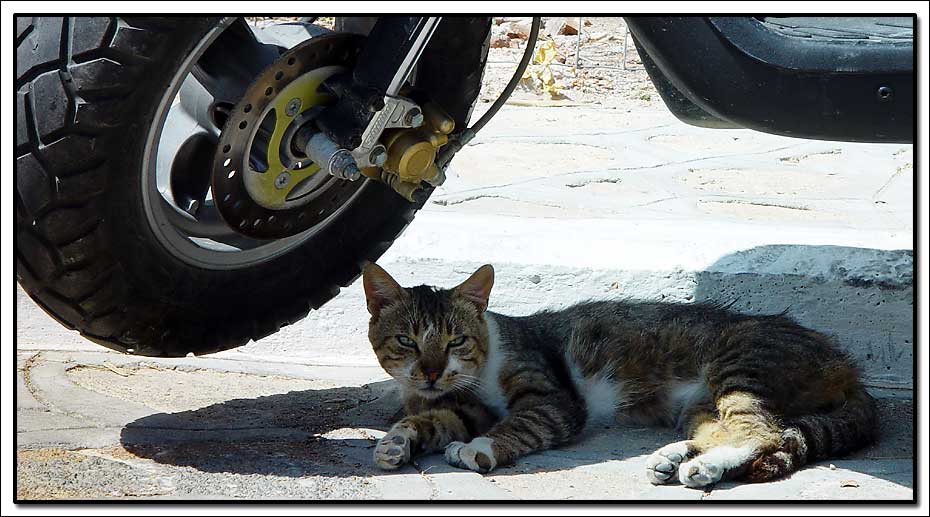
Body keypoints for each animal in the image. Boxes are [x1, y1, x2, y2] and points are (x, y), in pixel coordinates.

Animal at [358, 264, 872, 486]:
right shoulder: (460, 408)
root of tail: (844, 362)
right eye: (406, 341)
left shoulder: (553, 398)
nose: (430, 371)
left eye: (455, 341)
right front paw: (397, 442)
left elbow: (523, 422)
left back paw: (702, 464)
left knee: (763, 432)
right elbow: (433, 420)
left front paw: (480, 448)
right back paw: (680, 457)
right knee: (736, 430)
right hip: (703, 402)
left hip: (738, 366)